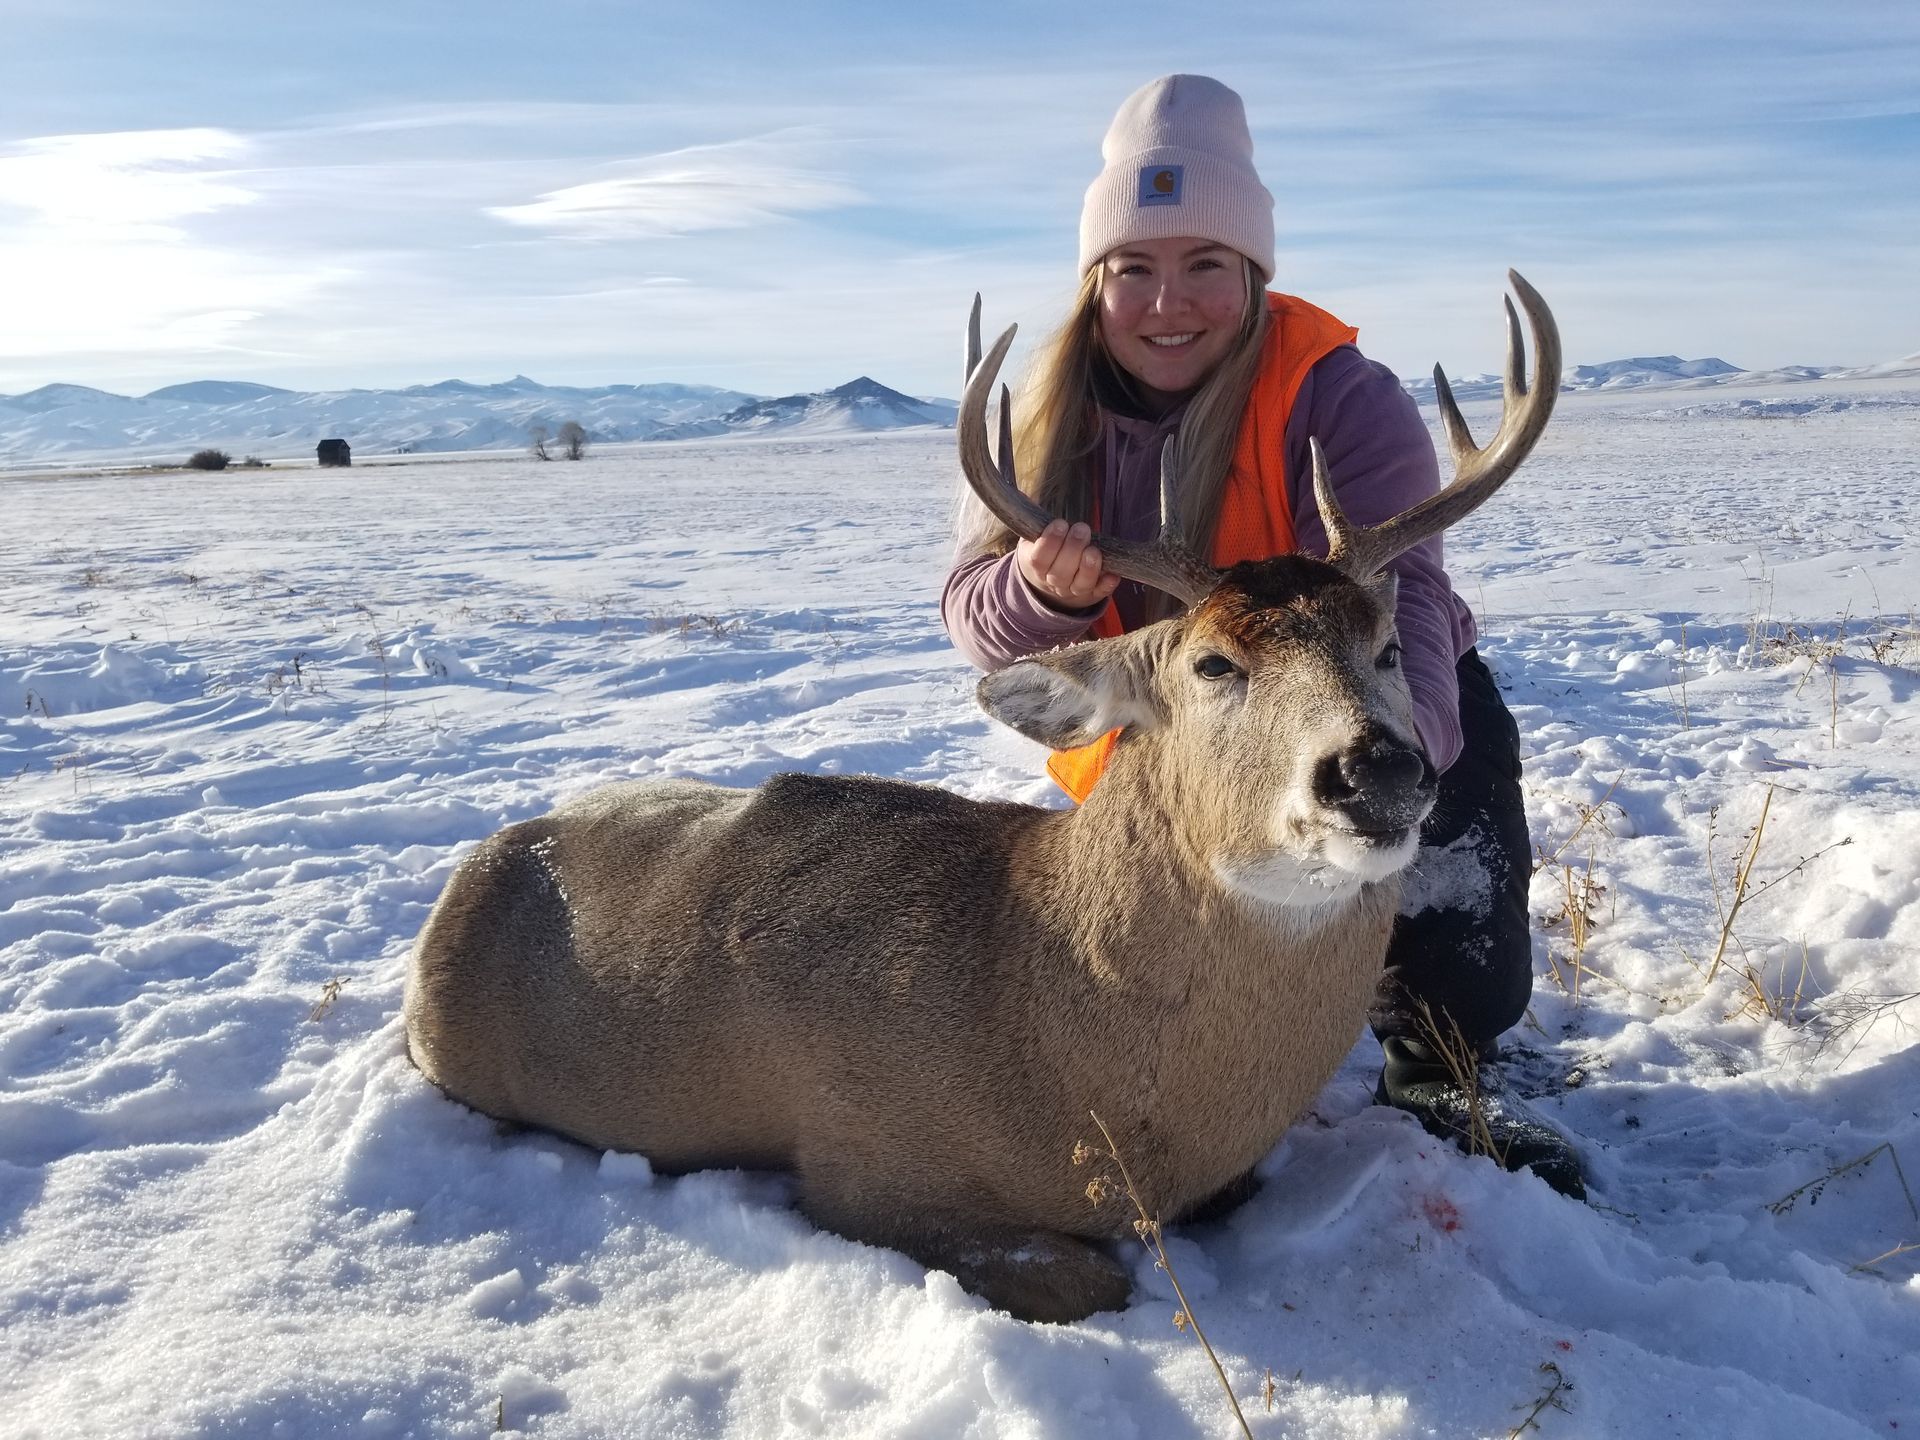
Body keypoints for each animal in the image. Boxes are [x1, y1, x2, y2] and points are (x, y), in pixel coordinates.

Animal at [404, 271, 1560, 1324]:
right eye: (1213, 664)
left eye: (1384, 648)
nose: (1379, 769)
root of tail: (476, 865)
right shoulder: (865, 1165)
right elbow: (1091, 1279)